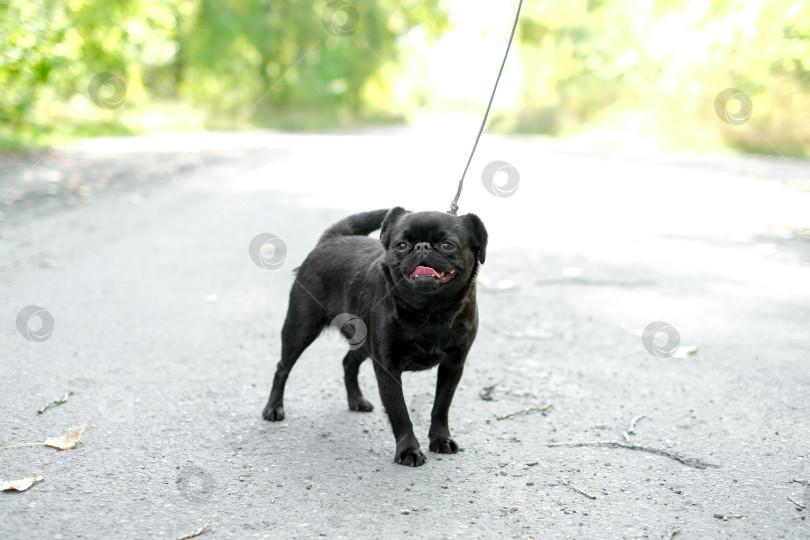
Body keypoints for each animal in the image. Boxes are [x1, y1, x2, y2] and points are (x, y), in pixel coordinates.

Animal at [262, 207, 486, 464]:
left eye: (448, 245)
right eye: (400, 245)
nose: (421, 246)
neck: (429, 310)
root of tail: (332, 238)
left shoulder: (453, 365)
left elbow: (441, 406)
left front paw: (440, 439)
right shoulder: (387, 368)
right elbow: (399, 411)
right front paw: (408, 450)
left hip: (362, 341)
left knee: (348, 363)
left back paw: (356, 400)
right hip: (300, 329)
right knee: (282, 368)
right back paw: (274, 408)